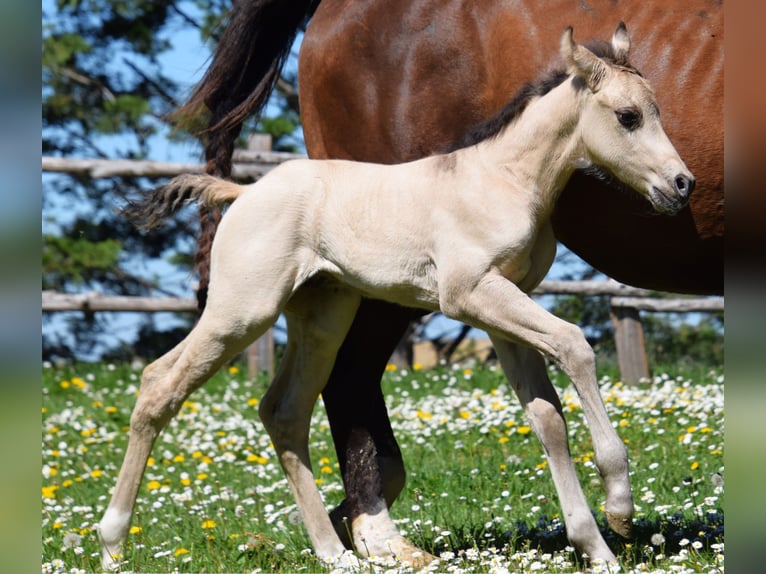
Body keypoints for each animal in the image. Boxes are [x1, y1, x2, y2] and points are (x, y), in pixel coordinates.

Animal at [99, 24, 694, 568]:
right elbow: (575, 346)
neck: (504, 178)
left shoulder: (503, 308)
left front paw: (596, 549)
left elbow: (547, 419)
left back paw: (332, 553)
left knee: (284, 412)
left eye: (659, 110)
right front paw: (619, 506)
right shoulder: (470, 294)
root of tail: (242, 192)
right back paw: (111, 543)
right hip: (240, 312)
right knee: (159, 384)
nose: (682, 184)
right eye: (628, 116)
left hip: (322, 315)